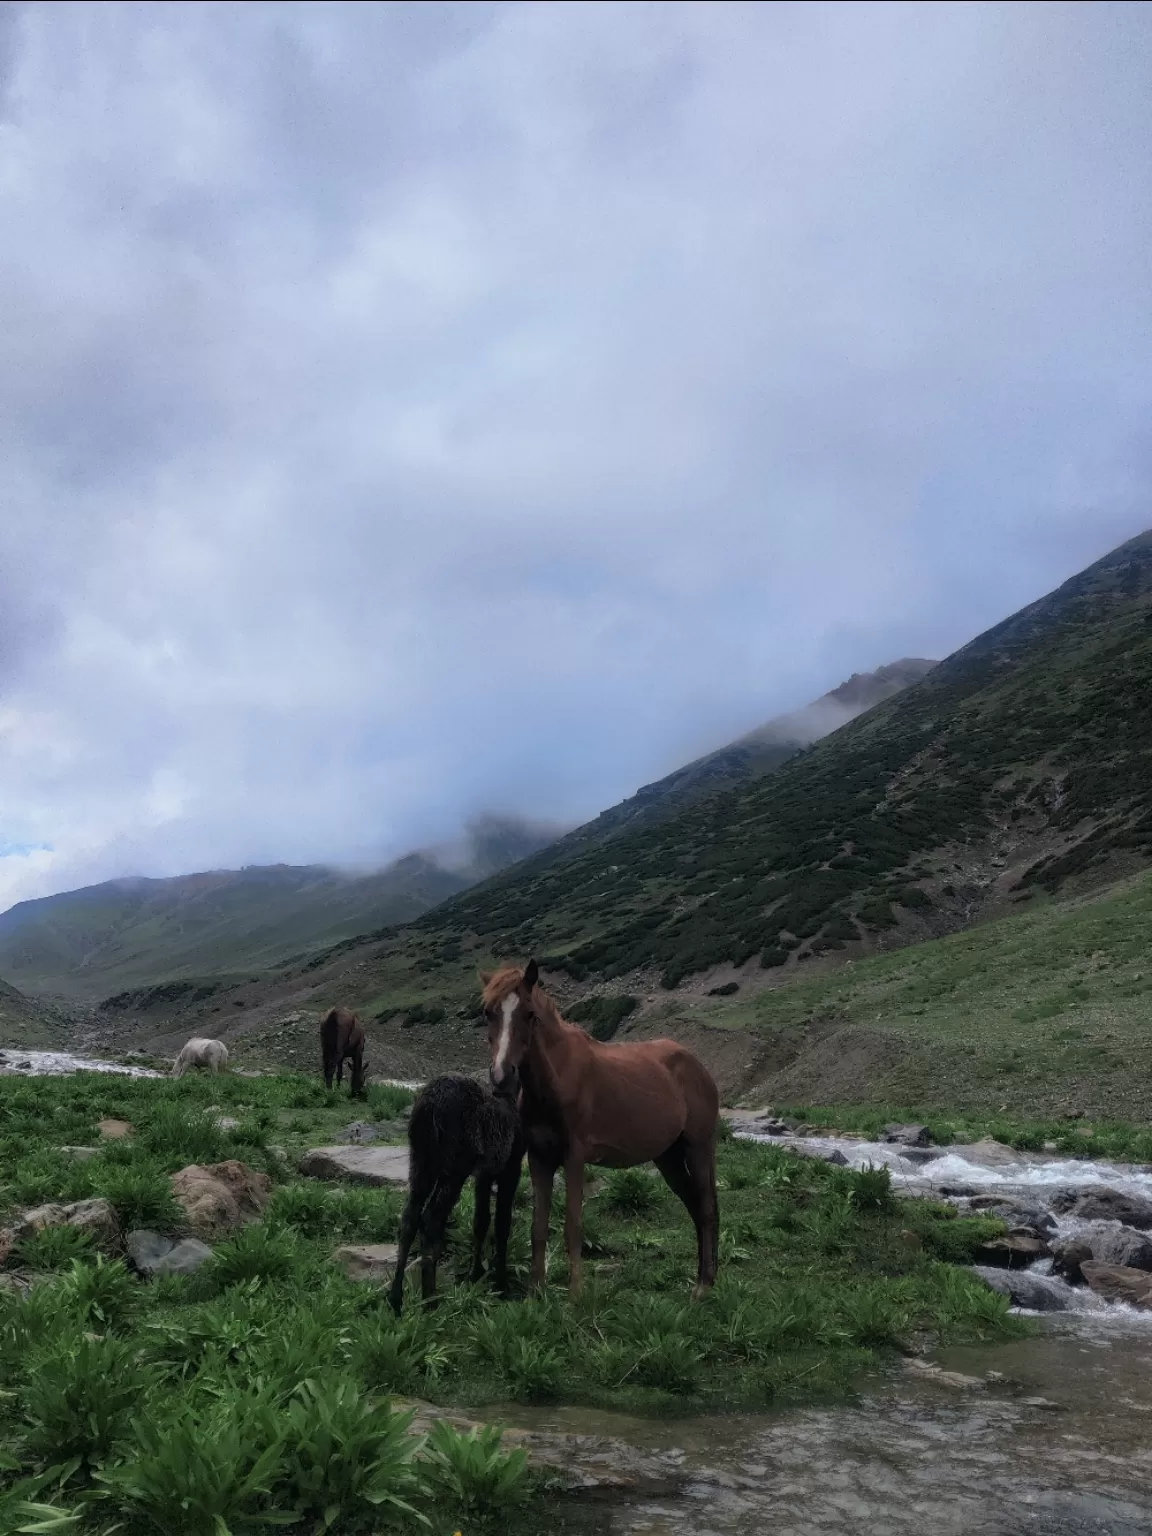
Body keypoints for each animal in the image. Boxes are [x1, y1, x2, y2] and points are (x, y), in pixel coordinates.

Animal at [479, 958, 721, 1296]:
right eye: (488, 1012)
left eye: (529, 1013)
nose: (502, 1077)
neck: (556, 1079)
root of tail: (698, 1066)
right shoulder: (540, 1158)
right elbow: (538, 1227)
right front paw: (535, 1294)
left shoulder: (574, 1157)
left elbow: (573, 1225)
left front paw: (576, 1296)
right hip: (668, 1158)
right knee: (695, 1207)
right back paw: (703, 1278)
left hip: (697, 1147)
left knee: (707, 1210)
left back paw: (703, 1287)